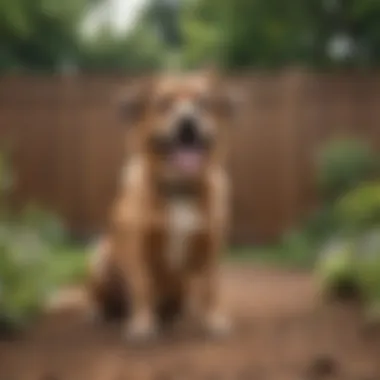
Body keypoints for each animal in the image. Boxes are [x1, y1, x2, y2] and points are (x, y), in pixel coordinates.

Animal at [87, 71, 239, 342]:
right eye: (163, 104)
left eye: (203, 104)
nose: (187, 120)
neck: (179, 188)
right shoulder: (137, 250)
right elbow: (142, 287)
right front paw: (142, 324)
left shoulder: (211, 248)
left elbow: (212, 287)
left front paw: (214, 321)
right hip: (100, 257)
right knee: (100, 298)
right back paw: (102, 314)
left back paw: (173, 316)